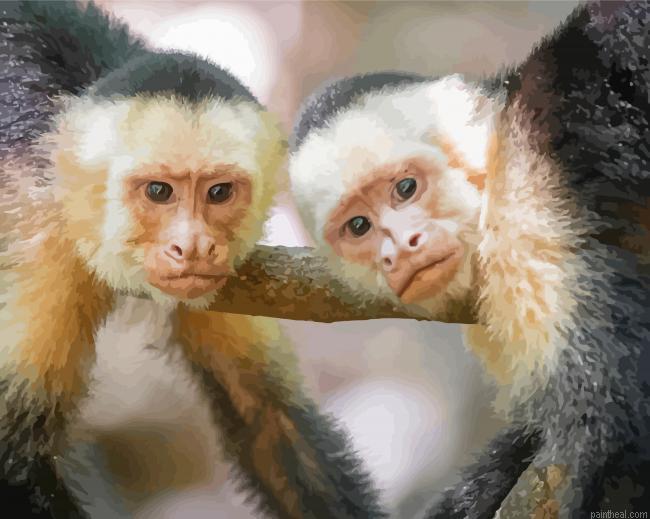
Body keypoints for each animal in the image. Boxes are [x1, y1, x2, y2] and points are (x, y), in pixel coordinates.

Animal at [0, 2, 387, 518]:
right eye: (158, 192)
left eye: (218, 192)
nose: (194, 246)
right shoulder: (45, 249)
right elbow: (14, 462)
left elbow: (265, 416)